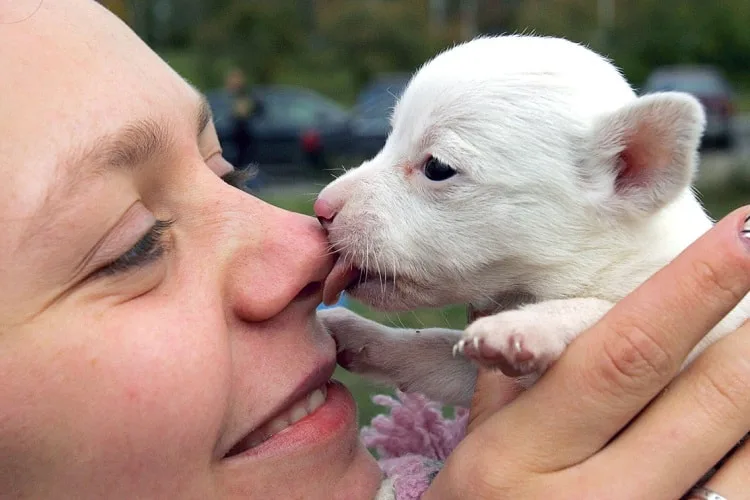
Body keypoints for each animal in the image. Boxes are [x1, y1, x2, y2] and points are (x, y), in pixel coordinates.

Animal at [312, 35, 750, 410]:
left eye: (437, 167)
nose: (322, 208)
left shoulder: (704, 338)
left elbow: (602, 309)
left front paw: (527, 325)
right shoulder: (465, 373)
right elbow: (428, 348)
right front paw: (357, 333)